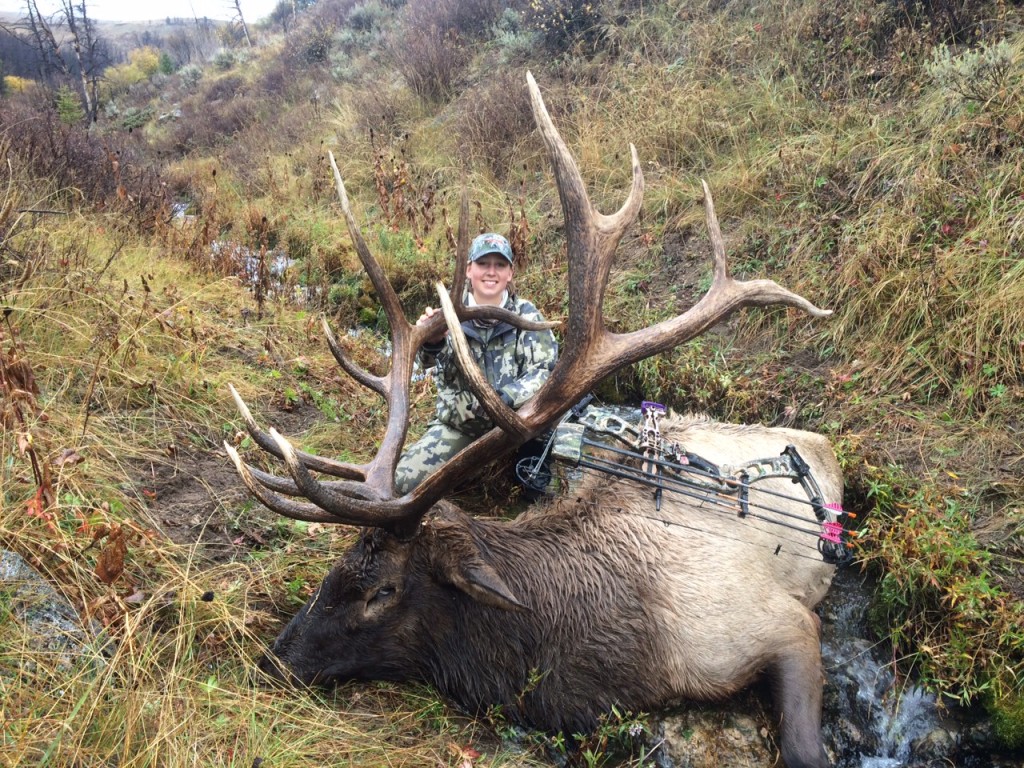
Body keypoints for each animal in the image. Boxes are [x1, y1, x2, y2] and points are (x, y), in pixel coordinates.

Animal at [228, 73, 843, 768]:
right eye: (337, 566)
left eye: (381, 590)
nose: (273, 659)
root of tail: (816, 439)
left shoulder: (783, 625)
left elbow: (804, 748)